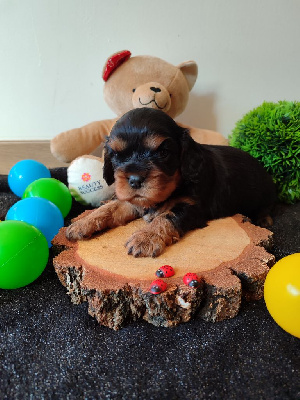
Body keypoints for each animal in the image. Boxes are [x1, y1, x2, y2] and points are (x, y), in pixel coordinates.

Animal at [66, 107, 276, 256]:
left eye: (163, 152)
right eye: (116, 155)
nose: (134, 180)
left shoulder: (191, 206)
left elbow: (166, 216)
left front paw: (146, 238)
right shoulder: (136, 201)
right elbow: (111, 207)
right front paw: (82, 223)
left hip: (264, 192)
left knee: (266, 206)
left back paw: (263, 218)